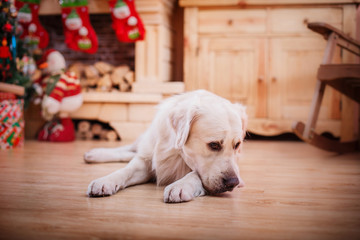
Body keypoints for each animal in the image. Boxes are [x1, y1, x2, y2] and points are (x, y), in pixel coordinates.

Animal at [84, 90, 248, 202]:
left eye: (237, 145)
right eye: (213, 145)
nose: (234, 183)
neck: (178, 154)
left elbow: (195, 173)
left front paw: (181, 185)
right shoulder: (147, 161)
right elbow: (125, 171)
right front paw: (105, 181)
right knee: (130, 149)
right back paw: (95, 154)